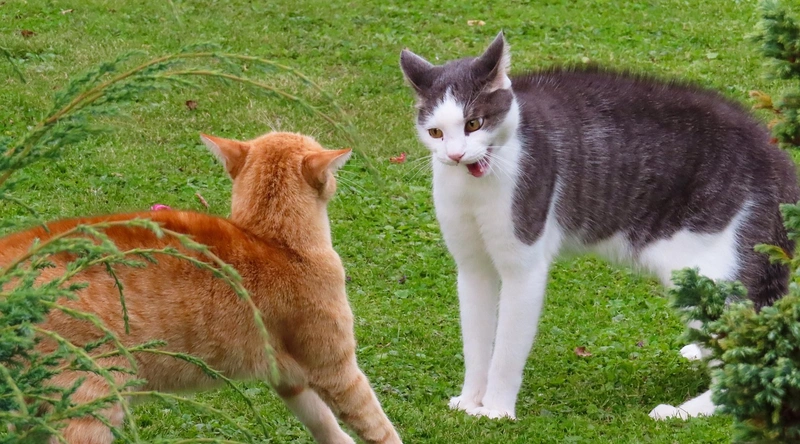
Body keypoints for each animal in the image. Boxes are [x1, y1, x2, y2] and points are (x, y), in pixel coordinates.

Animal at [0, 132, 402, 444]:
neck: (274, 240)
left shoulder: (288, 375)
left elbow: (322, 421)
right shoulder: (336, 371)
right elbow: (378, 425)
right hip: (92, 399)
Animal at [399, 32, 800, 421]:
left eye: (474, 124)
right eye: (435, 132)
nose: (455, 154)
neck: (476, 186)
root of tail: (777, 158)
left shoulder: (523, 266)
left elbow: (508, 347)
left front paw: (496, 409)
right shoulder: (472, 268)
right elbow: (477, 341)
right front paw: (470, 400)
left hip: (707, 270)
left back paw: (684, 411)